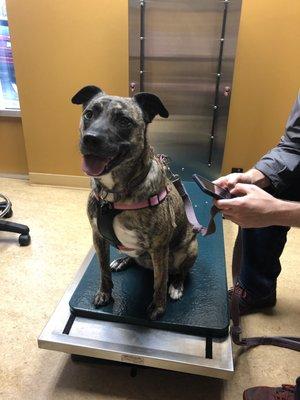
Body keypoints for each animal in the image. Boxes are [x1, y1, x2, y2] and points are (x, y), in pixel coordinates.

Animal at [72, 86, 198, 320]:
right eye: (89, 114)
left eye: (124, 121)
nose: (90, 139)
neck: (113, 195)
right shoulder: (98, 236)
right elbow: (103, 270)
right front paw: (105, 293)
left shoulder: (159, 248)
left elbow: (160, 282)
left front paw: (158, 307)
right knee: (134, 257)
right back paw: (123, 260)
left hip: (190, 248)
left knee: (179, 272)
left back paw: (176, 285)